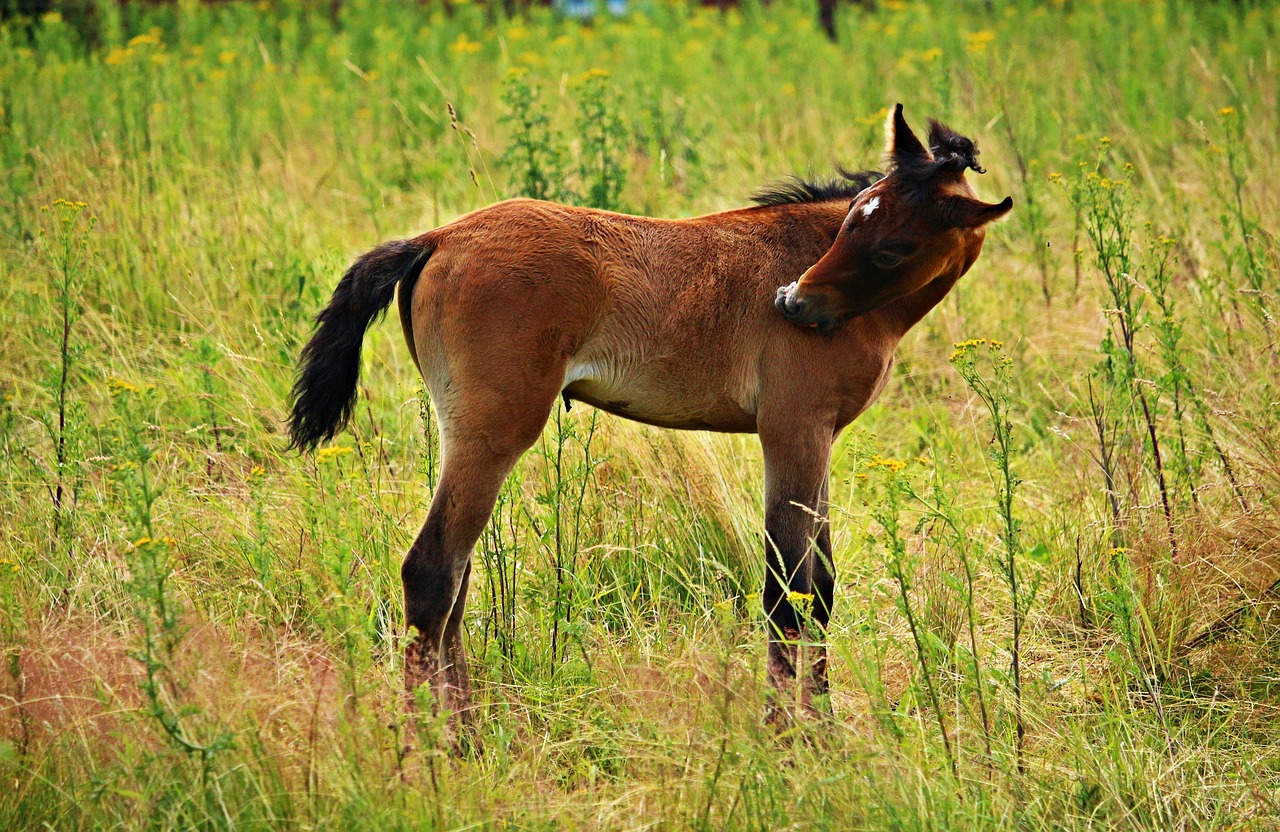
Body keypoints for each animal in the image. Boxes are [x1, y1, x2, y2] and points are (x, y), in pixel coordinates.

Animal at [288, 105, 1008, 737]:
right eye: (853, 223)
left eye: (891, 246)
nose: (792, 302)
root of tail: (436, 238)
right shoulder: (793, 430)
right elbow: (787, 594)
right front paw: (788, 739)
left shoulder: (820, 438)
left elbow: (820, 590)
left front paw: (823, 730)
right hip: (493, 433)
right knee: (433, 572)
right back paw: (442, 745)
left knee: (456, 581)